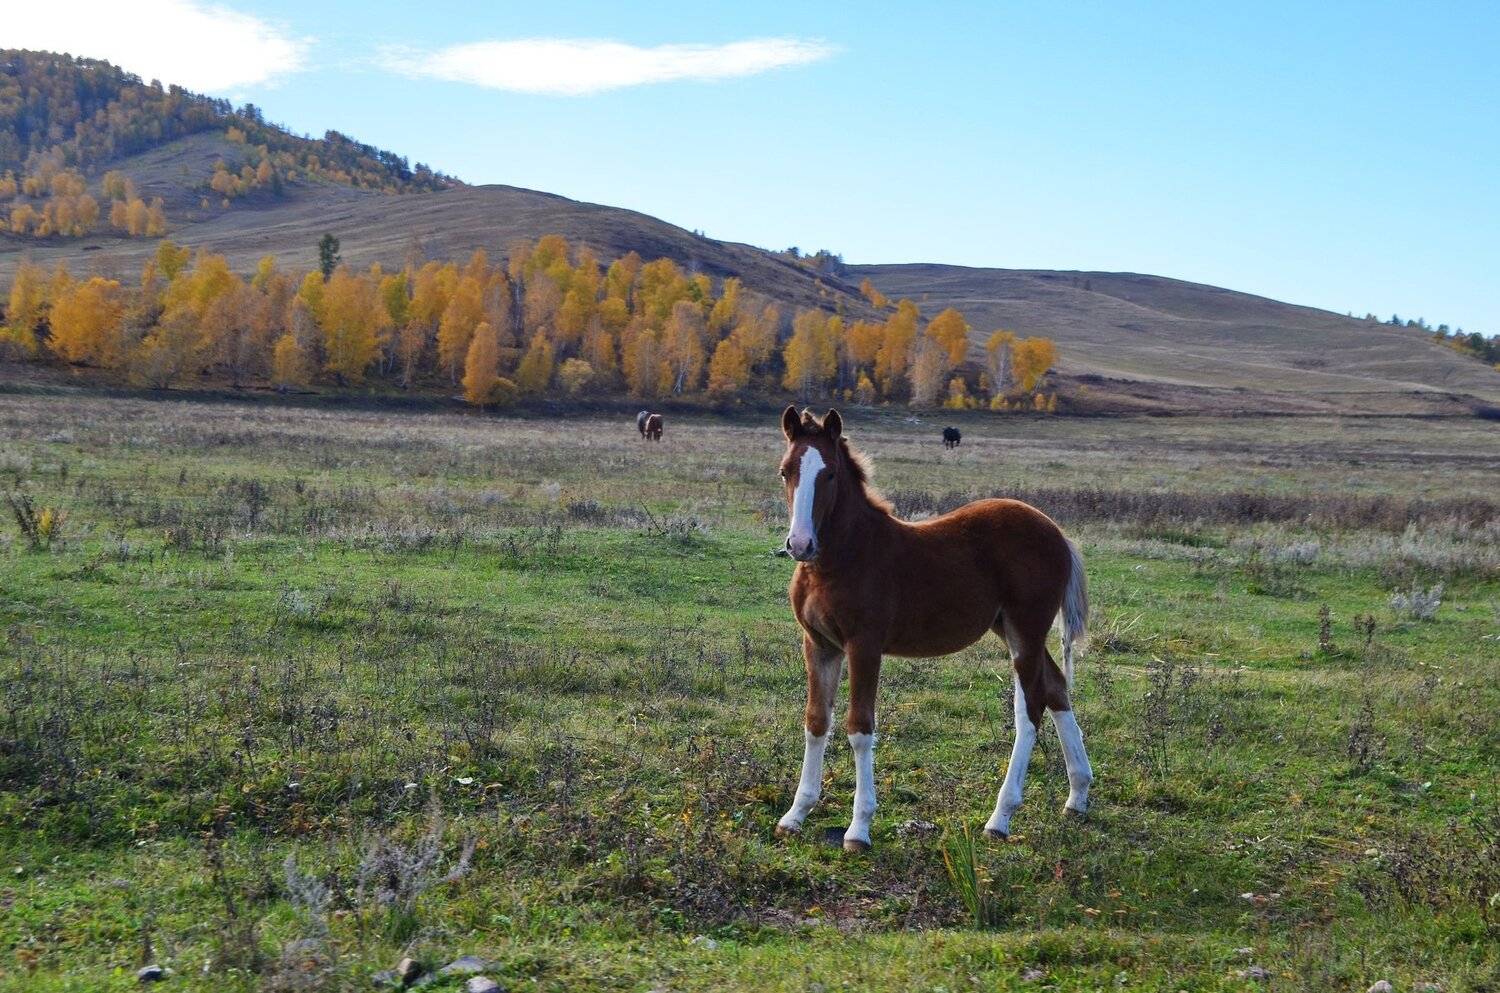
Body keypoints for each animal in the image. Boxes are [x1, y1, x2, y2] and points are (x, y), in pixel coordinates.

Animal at [773, 406, 1092, 852]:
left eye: (830, 474)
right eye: (785, 471)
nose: (800, 544)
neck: (844, 557)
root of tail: (1057, 532)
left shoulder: (864, 645)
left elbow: (859, 727)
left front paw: (859, 829)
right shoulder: (819, 644)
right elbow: (816, 722)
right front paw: (795, 814)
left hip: (1027, 627)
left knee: (1031, 709)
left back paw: (1000, 818)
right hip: (1009, 629)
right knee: (1056, 687)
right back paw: (1078, 795)